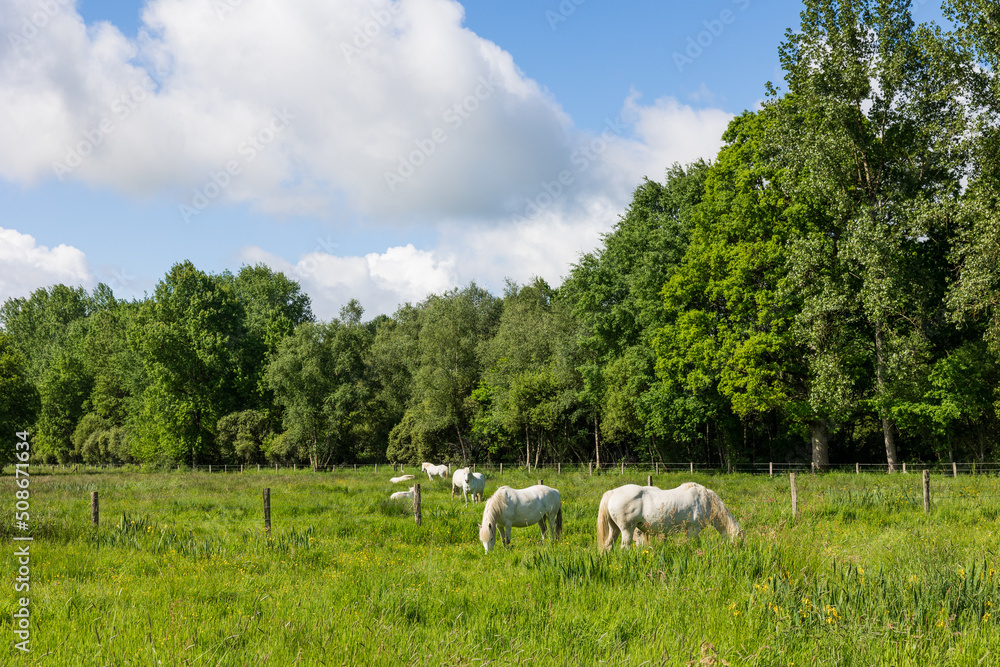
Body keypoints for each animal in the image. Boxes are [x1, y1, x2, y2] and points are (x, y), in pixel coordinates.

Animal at [596, 482, 742, 552]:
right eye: (741, 540)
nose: (740, 552)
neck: (706, 501)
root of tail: (613, 492)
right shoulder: (694, 529)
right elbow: (694, 544)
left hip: (614, 529)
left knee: (608, 546)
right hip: (627, 529)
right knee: (624, 547)